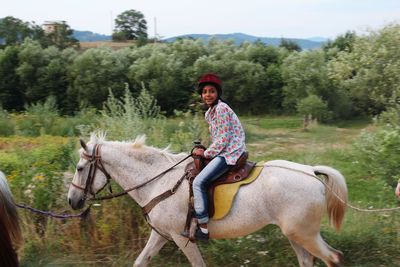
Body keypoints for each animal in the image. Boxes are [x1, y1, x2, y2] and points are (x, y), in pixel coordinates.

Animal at [68, 135, 346, 266]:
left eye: (80, 168)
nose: (73, 201)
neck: (158, 181)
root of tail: (310, 171)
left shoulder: (182, 238)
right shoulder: (161, 234)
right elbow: (141, 261)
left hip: (304, 233)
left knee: (332, 258)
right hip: (295, 234)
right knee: (308, 260)